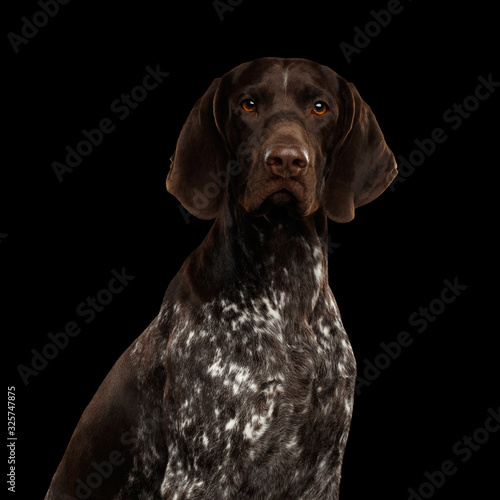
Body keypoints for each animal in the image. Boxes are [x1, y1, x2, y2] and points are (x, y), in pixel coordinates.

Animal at [47, 56, 398, 498]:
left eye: (320, 108)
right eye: (248, 104)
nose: (287, 160)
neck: (288, 282)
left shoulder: (322, 472)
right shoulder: (199, 474)